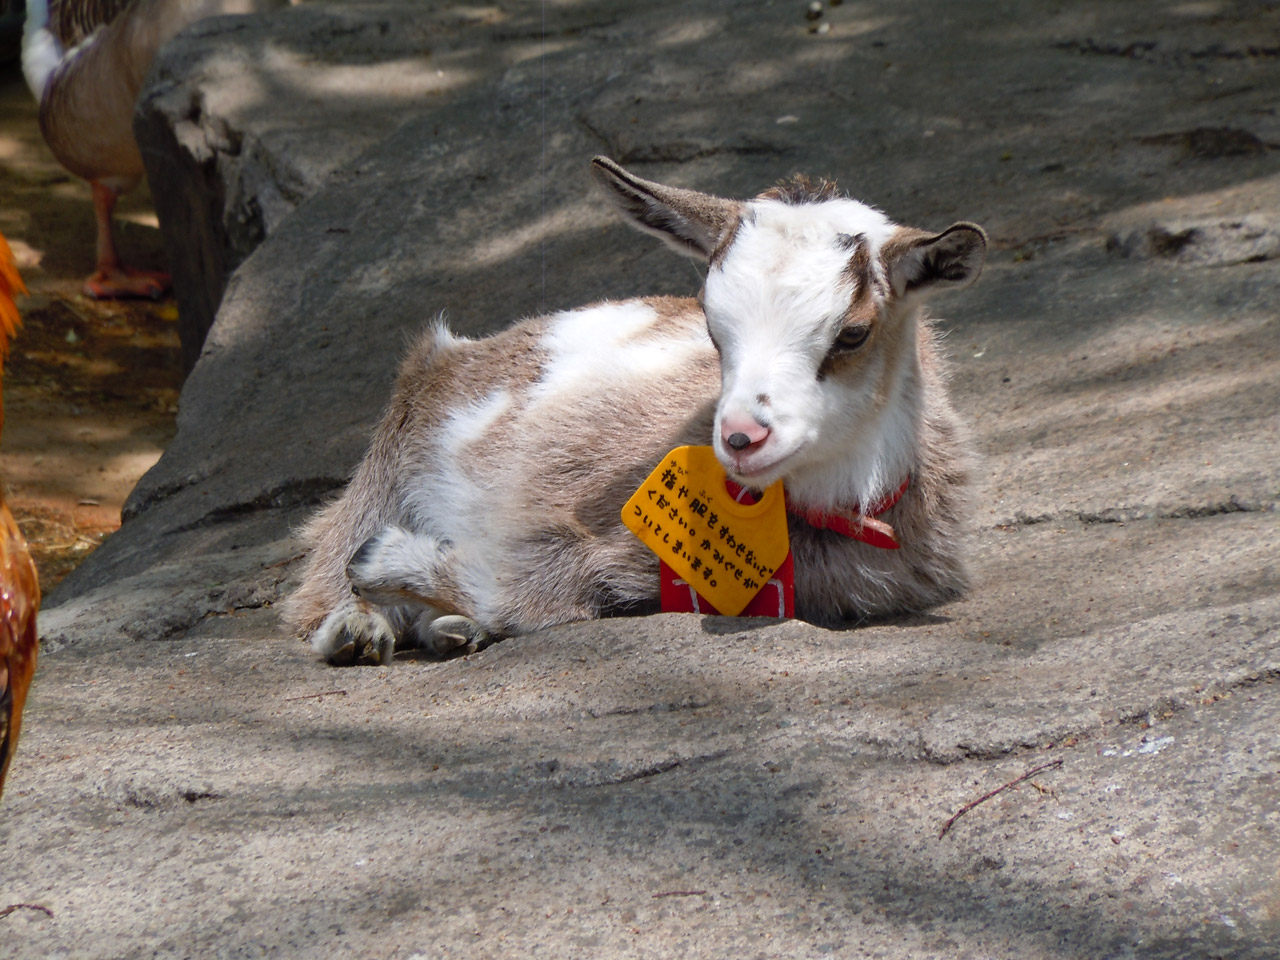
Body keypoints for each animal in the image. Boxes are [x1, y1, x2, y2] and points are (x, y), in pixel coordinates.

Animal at [285, 160, 983, 670]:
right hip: (393, 452)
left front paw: (423, 590)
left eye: (854, 332)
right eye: (712, 326)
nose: (741, 437)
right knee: (320, 574)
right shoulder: (557, 519)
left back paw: (449, 629)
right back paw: (357, 628)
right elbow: (521, 588)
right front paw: (388, 563)